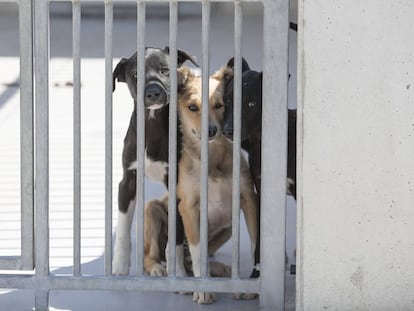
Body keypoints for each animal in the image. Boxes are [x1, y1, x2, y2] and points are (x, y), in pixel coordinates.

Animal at [111, 46, 199, 276]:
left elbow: (175, 237)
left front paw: (177, 271)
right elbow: (122, 231)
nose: (153, 93)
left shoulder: (177, 185)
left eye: (165, 70)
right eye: (135, 75)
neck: (151, 124)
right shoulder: (127, 182)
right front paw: (119, 266)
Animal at [177, 66, 258, 304]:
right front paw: (202, 290)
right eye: (192, 107)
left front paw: (248, 284)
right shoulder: (188, 207)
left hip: (228, 229)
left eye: (219, 105)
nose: (211, 130)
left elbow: (255, 243)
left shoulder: (248, 198)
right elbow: (197, 253)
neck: (212, 160)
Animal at [222, 58, 296, 278]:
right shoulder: (263, 192)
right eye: (227, 100)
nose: (227, 131)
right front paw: (256, 274)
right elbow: (260, 238)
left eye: (252, 104)